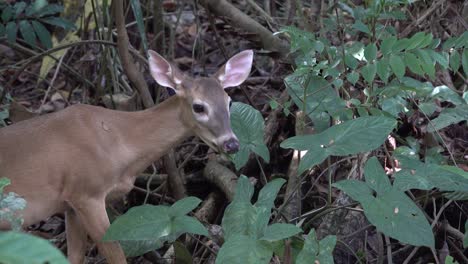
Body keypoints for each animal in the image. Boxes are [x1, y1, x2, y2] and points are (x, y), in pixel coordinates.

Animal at [0, 49, 254, 264]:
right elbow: (116, 254)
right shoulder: (86, 192)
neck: (117, 141)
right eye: (199, 107)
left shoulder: (70, 204)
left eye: (229, 102)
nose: (231, 143)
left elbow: (75, 256)